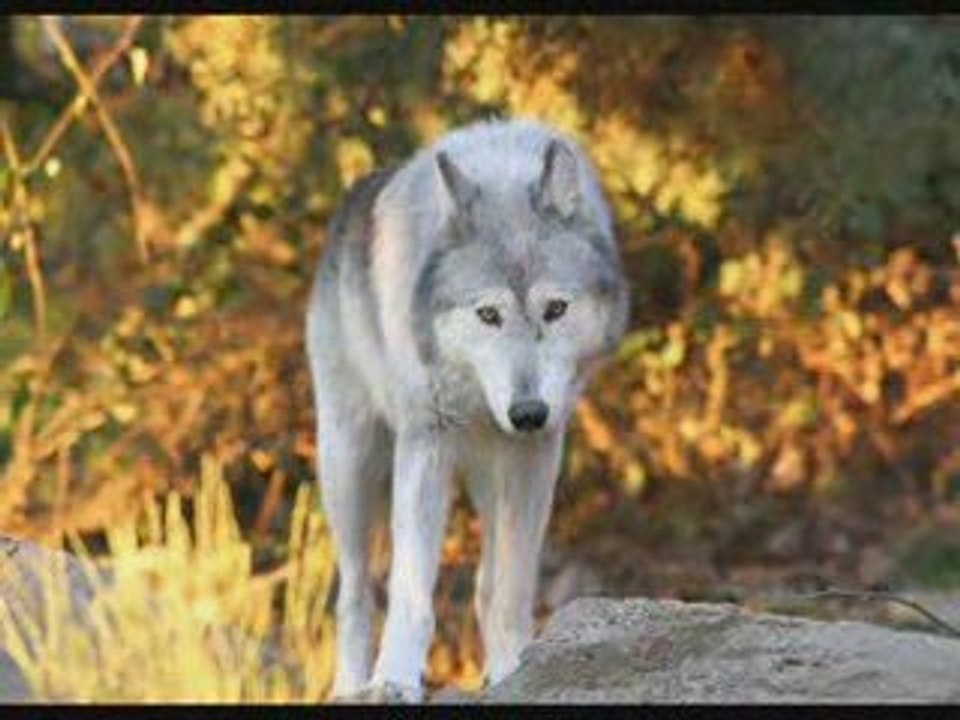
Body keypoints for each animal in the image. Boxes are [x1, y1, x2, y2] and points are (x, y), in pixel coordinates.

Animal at [305, 119, 629, 701]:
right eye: (488, 315)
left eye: (556, 309)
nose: (528, 413)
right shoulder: (426, 442)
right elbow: (410, 589)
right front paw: (394, 678)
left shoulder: (534, 455)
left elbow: (511, 586)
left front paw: (515, 669)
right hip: (348, 463)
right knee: (355, 593)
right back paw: (350, 685)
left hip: (488, 474)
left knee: (485, 582)